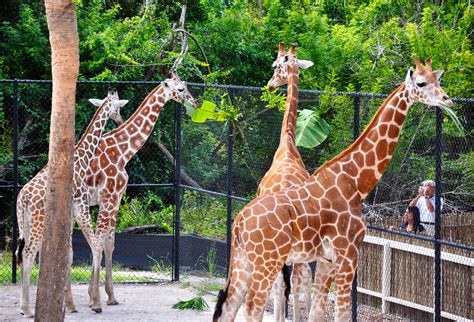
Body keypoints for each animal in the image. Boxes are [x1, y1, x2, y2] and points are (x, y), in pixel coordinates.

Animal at [15, 88, 129, 316]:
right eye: (117, 107)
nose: (120, 120)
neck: (81, 158)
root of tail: (23, 199)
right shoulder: (81, 206)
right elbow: (93, 245)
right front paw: (93, 302)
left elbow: (69, 252)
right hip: (38, 221)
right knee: (30, 253)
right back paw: (28, 309)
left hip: (24, 222)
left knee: (21, 252)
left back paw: (27, 307)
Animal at [83, 71, 196, 314]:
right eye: (180, 89)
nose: (194, 102)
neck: (123, 152)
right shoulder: (109, 199)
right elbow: (100, 242)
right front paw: (96, 298)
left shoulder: (114, 201)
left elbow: (109, 243)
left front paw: (109, 296)